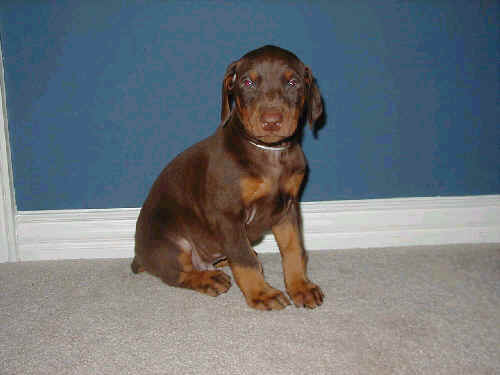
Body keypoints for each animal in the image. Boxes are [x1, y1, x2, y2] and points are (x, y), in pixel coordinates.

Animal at [132, 44, 324, 312]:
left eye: (293, 82)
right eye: (247, 82)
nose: (272, 121)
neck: (269, 153)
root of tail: (139, 256)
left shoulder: (288, 208)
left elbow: (294, 249)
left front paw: (300, 287)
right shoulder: (227, 214)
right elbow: (244, 260)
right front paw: (261, 293)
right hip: (168, 243)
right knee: (181, 273)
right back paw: (207, 278)